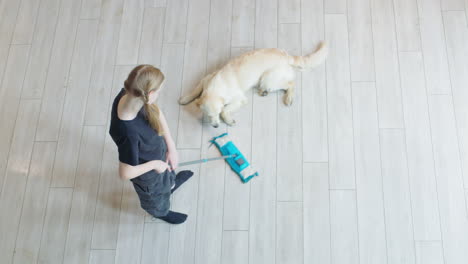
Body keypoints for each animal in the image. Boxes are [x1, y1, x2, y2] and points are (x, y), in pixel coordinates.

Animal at [177, 41, 328, 127]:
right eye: (208, 115)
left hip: (268, 79)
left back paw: (289, 98)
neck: (215, 88)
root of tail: (286, 55)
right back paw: (264, 92)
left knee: (290, 83)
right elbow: (196, 89)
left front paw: (228, 120)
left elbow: (226, 109)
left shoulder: (240, 99)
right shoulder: (206, 79)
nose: (215, 126)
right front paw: (185, 98)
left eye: (218, 113)